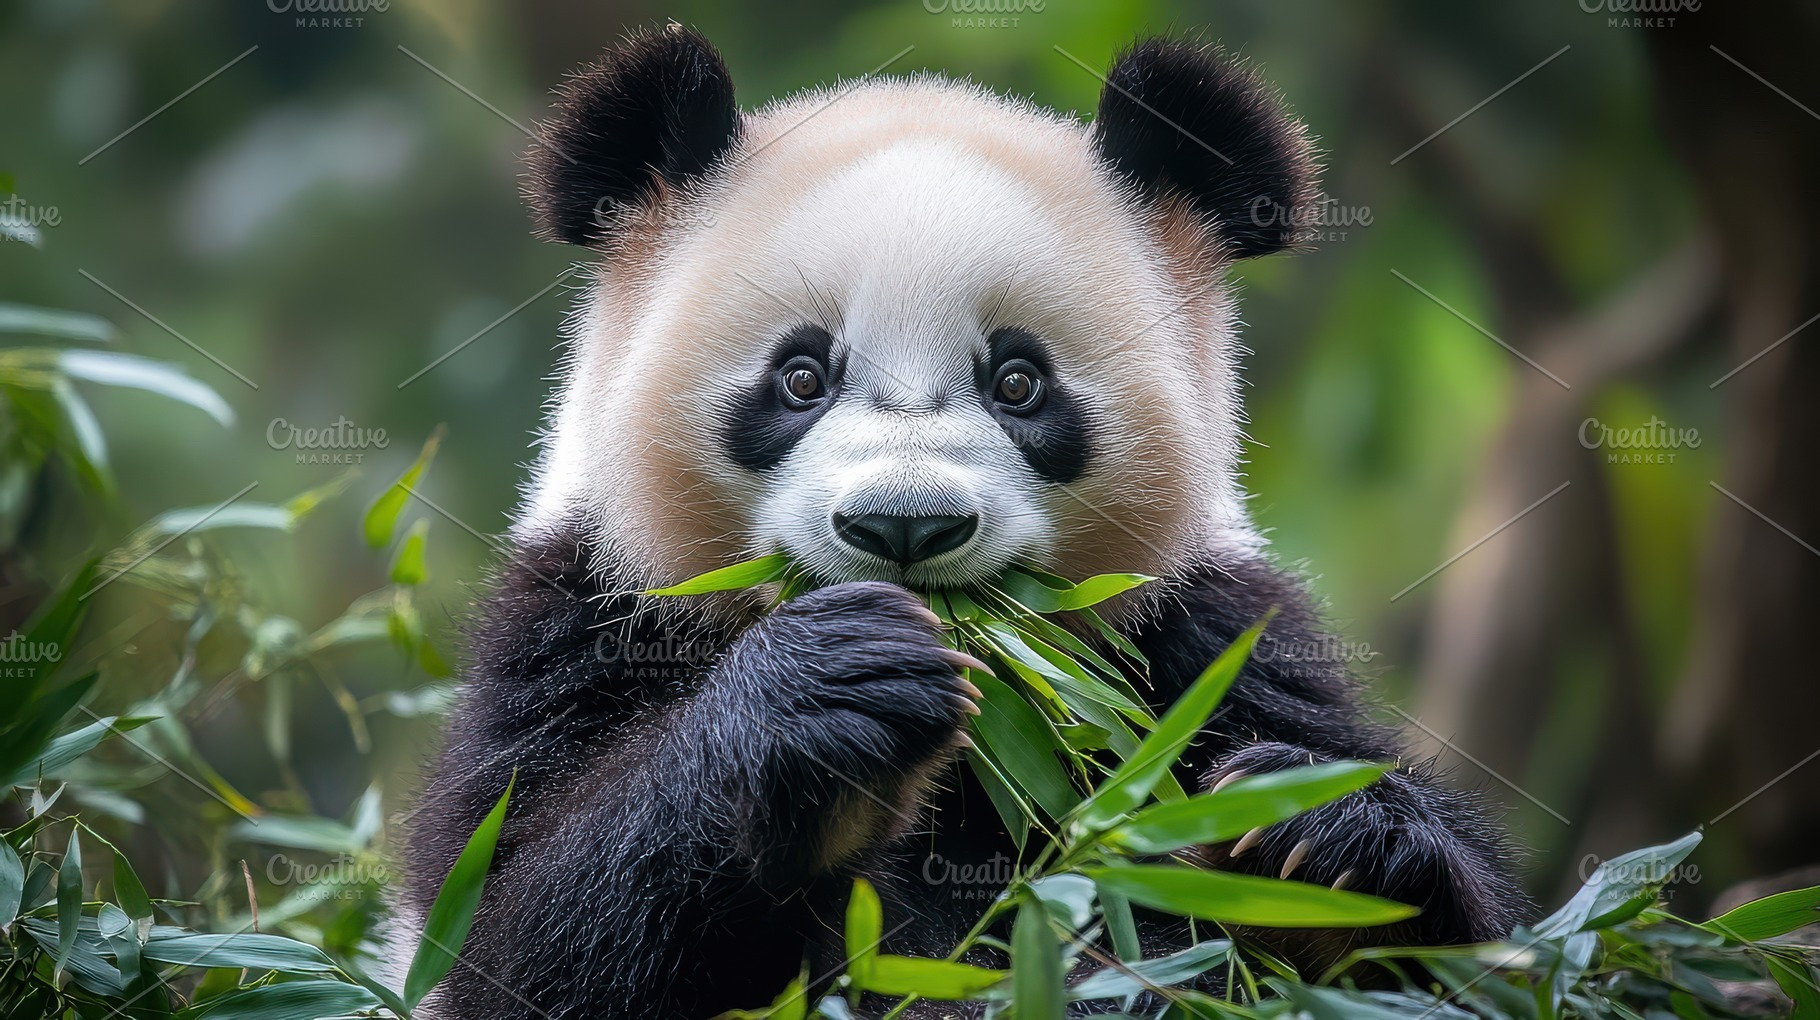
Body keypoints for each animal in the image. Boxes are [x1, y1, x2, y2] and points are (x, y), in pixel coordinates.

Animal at [400, 25, 1529, 1019]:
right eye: (800, 377)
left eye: (1018, 381)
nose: (904, 528)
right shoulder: (584, 615)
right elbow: (514, 942)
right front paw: (833, 688)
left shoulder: (1210, 637)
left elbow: (1487, 949)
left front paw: (1318, 838)